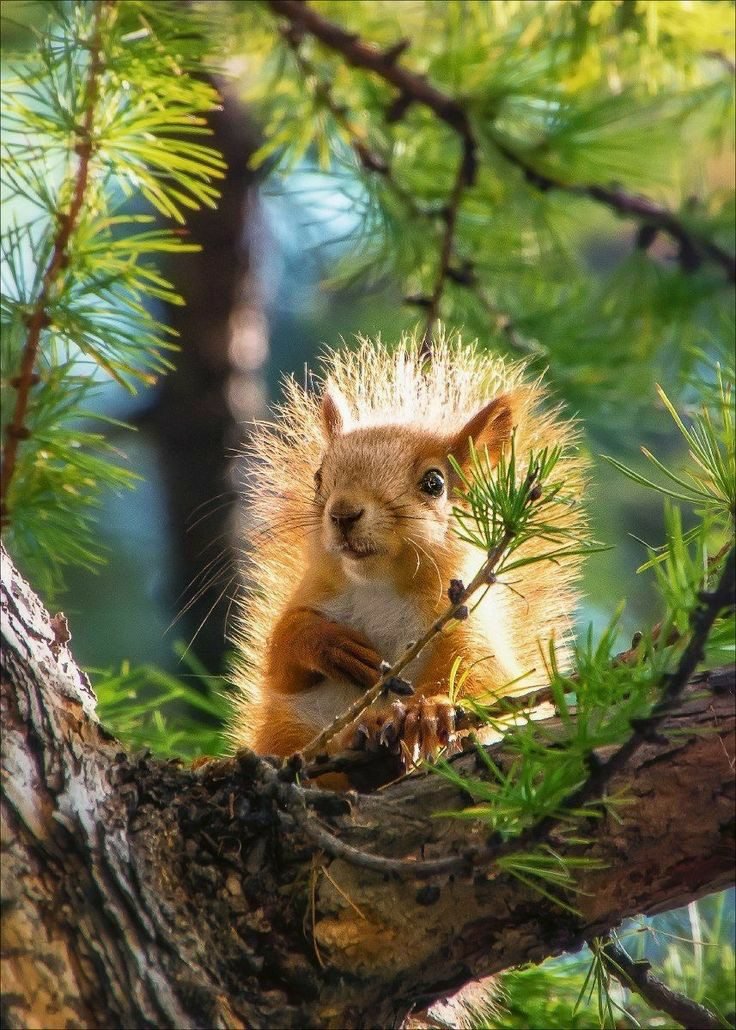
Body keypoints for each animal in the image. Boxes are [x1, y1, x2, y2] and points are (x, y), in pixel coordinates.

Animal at [228, 329, 588, 774]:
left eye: (435, 483)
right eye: (317, 477)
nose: (343, 512)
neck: (380, 589)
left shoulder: (468, 625)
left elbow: (489, 680)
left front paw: (430, 711)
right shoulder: (309, 601)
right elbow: (279, 657)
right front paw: (328, 643)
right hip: (286, 729)